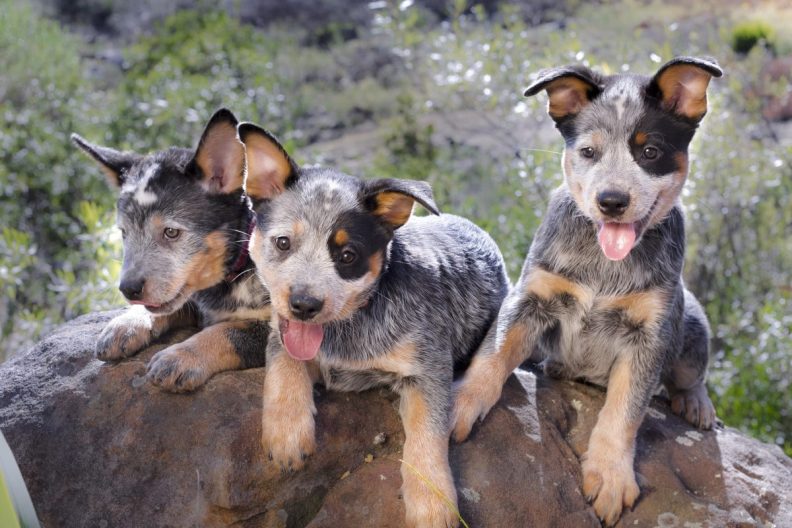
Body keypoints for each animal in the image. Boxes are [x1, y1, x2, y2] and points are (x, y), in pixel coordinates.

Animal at [72, 109, 270, 392]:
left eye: (171, 232)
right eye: (124, 233)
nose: (128, 289)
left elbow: (229, 331)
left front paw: (182, 356)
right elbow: (172, 305)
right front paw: (128, 322)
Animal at [238, 120, 508, 528]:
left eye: (348, 255)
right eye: (282, 242)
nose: (304, 305)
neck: (350, 326)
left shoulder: (427, 368)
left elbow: (428, 433)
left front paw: (432, 504)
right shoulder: (283, 332)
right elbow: (284, 362)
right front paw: (286, 431)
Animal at [452, 55, 724, 520]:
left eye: (649, 151)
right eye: (588, 152)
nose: (611, 200)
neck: (603, 266)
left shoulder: (650, 333)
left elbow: (624, 409)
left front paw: (611, 475)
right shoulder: (530, 297)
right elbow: (492, 354)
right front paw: (456, 405)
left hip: (690, 322)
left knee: (691, 373)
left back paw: (695, 403)